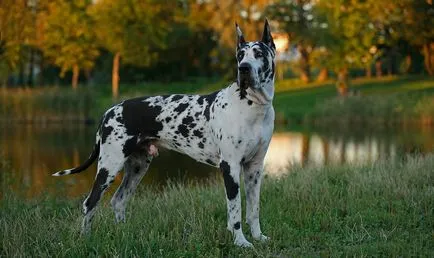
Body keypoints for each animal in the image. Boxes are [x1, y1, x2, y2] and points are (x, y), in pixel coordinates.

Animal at [54, 20, 276, 248]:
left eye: (258, 53)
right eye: (240, 55)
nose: (244, 69)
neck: (252, 106)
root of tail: (109, 111)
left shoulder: (254, 168)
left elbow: (253, 209)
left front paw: (258, 237)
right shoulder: (230, 167)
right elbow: (235, 211)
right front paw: (241, 242)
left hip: (137, 166)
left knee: (119, 200)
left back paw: (124, 233)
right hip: (109, 165)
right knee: (90, 202)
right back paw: (85, 238)